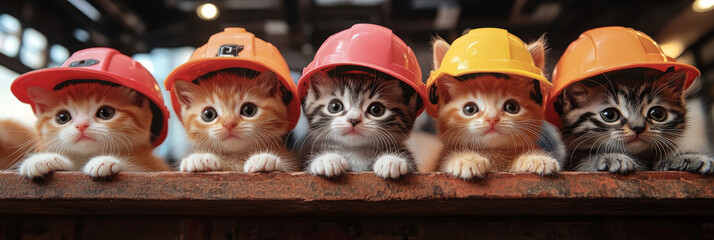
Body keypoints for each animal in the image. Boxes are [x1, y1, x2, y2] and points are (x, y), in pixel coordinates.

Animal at [16, 82, 172, 178]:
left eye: (106, 113)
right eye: (62, 117)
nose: (81, 125)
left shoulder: (153, 167)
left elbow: (139, 168)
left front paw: (104, 160)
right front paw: (40, 159)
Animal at [428, 36, 556, 178]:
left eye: (512, 107)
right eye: (470, 109)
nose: (492, 118)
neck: (493, 153)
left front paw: (536, 158)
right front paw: (466, 159)